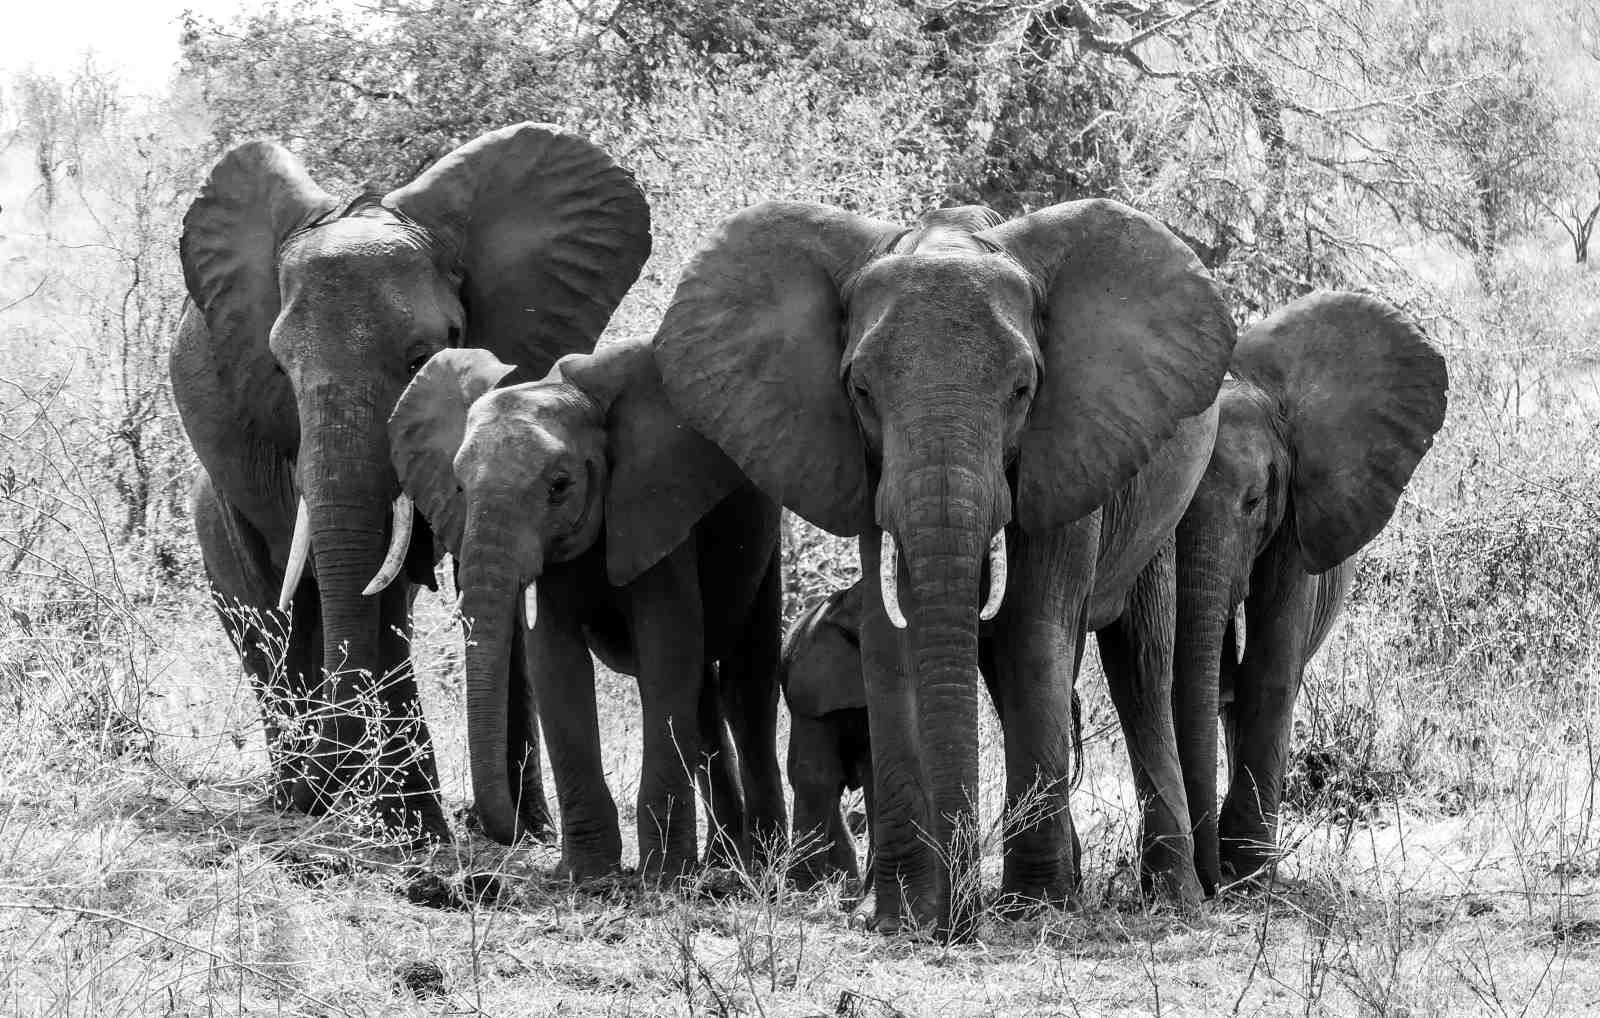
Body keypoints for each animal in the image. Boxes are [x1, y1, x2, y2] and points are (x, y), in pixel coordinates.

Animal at [172, 123, 651, 839]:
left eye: (422, 357)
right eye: (279, 368)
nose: (329, 784)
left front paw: (513, 829)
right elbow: (374, 584)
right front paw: (415, 830)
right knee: (270, 616)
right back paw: (301, 799)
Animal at [381, 339, 787, 879]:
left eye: (560, 485)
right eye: (460, 488)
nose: (517, 832)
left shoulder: (654, 504)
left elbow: (667, 650)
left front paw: (663, 878)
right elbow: (556, 662)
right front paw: (589, 874)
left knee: (748, 685)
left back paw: (763, 863)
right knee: (703, 698)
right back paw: (722, 860)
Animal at [652, 201, 1236, 932]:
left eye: (1023, 390)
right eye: (860, 390)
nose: (956, 922)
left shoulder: (1069, 444)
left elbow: (1032, 634)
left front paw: (1033, 908)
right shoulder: (864, 465)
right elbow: (892, 642)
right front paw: (901, 915)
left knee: (1140, 663)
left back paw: (1172, 899)